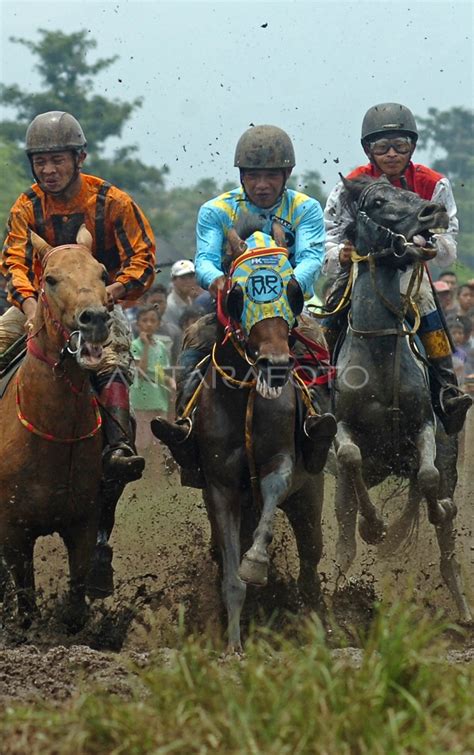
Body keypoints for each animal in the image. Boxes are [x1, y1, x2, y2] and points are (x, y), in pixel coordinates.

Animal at [0, 227, 110, 628]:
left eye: (102, 273)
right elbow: (26, 602)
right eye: (50, 278)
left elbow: (76, 603)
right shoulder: (13, 532)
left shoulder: (83, 522)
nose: (94, 319)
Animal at [334, 177, 470, 628]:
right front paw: (375, 527)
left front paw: (430, 514)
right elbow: (351, 456)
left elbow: (428, 479)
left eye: (411, 193)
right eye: (377, 201)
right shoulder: (340, 429)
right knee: (344, 538)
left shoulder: (425, 425)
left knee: (445, 548)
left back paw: (463, 611)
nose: (433, 212)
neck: (379, 356)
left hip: (446, 458)